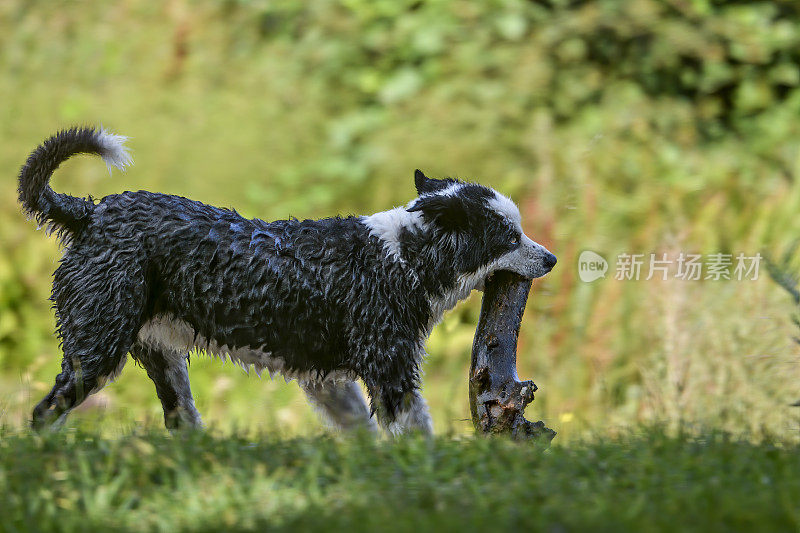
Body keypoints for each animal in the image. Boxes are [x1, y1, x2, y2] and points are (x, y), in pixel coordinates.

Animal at [18, 128, 556, 432]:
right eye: (509, 235)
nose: (551, 259)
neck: (403, 254)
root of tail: (89, 213)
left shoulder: (327, 382)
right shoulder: (389, 371)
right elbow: (415, 433)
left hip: (162, 358)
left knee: (181, 421)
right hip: (97, 351)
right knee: (45, 413)